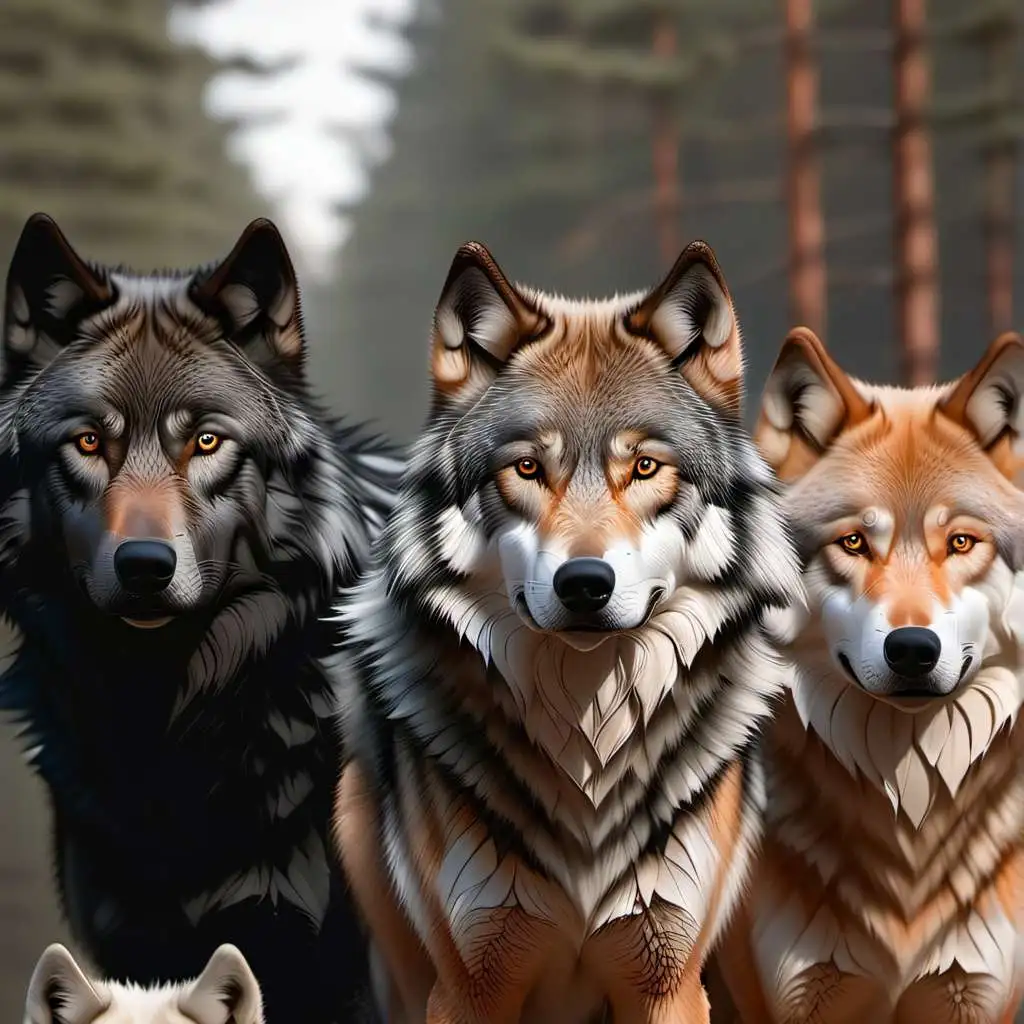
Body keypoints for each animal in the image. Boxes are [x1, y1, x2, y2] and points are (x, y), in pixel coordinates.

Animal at [332, 239, 802, 1023]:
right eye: (526, 468)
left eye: (644, 467)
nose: (584, 584)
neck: (588, 728)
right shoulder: (470, 987)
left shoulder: (667, 985)